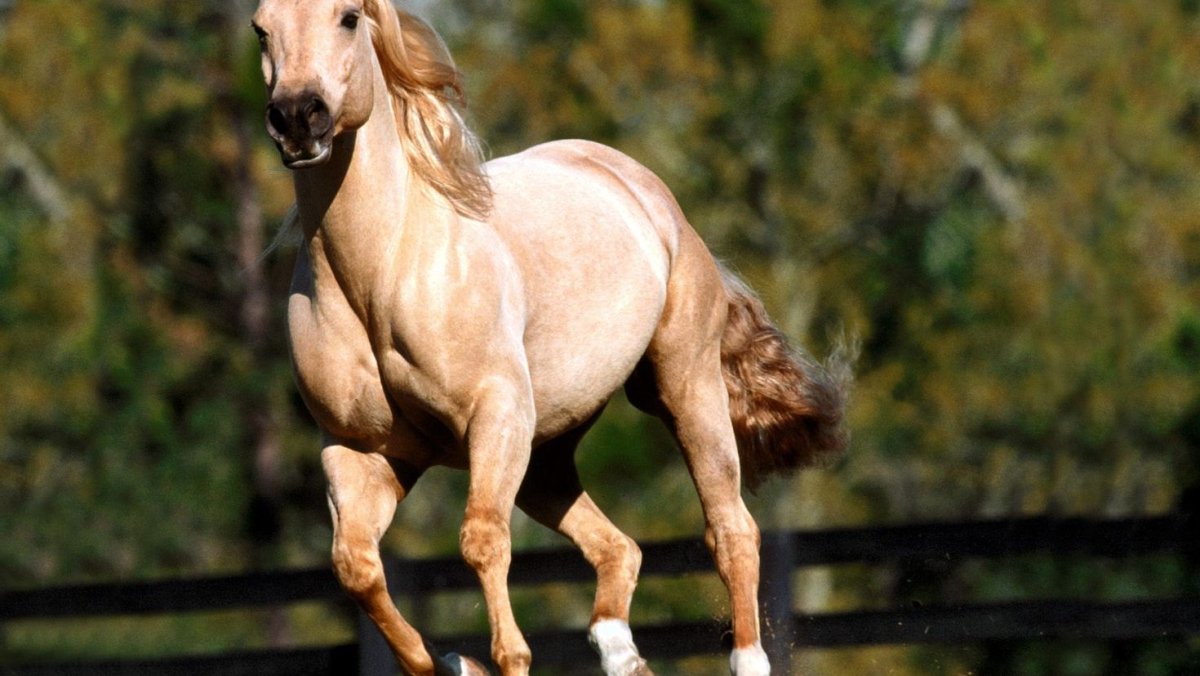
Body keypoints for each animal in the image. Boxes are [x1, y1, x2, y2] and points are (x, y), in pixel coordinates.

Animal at [249, 1, 847, 674]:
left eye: (349, 17)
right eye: (261, 28)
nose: (297, 117)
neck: (383, 271)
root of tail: (650, 194)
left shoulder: (496, 416)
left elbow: (482, 541)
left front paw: (500, 659)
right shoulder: (360, 451)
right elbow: (355, 566)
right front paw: (452, 663)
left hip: (685, 388)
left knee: (731, 529)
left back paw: (743, 656)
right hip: (547, 452)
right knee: (619, 549)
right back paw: (620, 653)